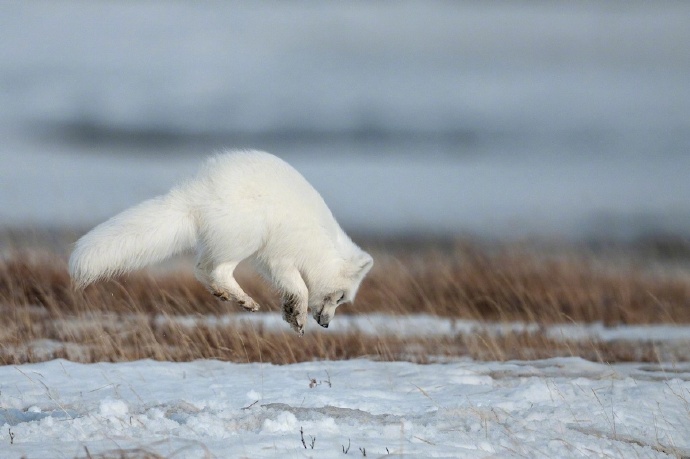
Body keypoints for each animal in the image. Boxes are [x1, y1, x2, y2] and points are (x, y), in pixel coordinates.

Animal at [69, 151, 370, 334]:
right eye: (340, 297)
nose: (327, 325)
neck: (322, 246)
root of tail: (195, 194)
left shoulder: (271, 262)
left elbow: (293, 290)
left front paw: (290, 312)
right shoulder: (280, 257)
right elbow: (302, 288)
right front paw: (299, 317)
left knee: (201, 269)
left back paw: (228, 295)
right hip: (249, 236)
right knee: (218, 269)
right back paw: (244, 299)